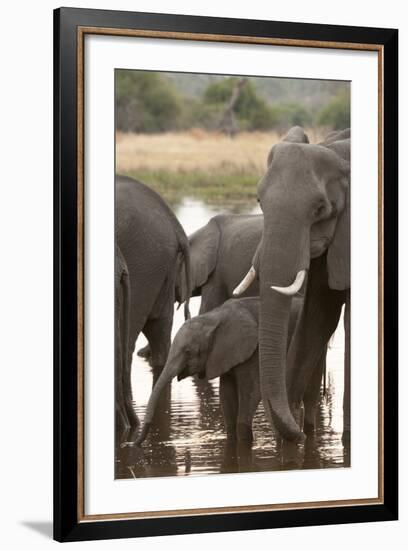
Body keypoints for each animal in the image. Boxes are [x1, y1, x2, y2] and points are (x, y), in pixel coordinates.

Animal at [135, 298, 302, 448]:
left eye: (188, 352)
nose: (134, 443)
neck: (214, 317)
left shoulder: (254, 352)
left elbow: (251, 393)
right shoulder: (223, 355)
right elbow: (226, 395)